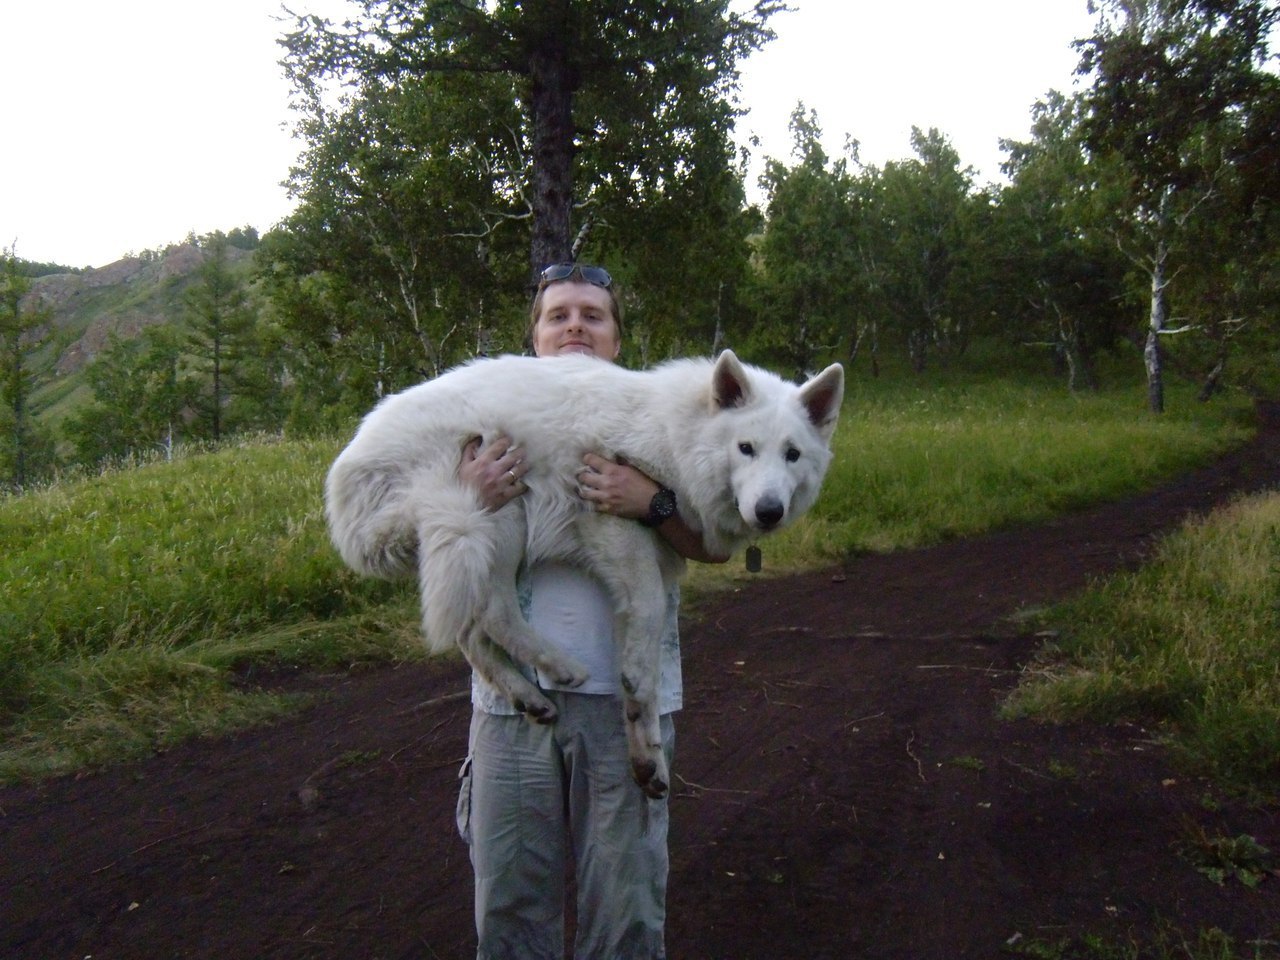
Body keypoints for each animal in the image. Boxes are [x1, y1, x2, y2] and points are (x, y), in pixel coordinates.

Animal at [325, 350, 844, 798]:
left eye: (792, 454)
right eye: (746, 448)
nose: (769, 512)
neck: (675, 437)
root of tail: (344, 478)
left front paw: (646, 754)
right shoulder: (616, 531)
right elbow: (645, 649)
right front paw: (644, 735)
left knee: (470, 632)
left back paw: (528, 696)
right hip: (494, 515)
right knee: (492, 613)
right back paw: (560, 667)